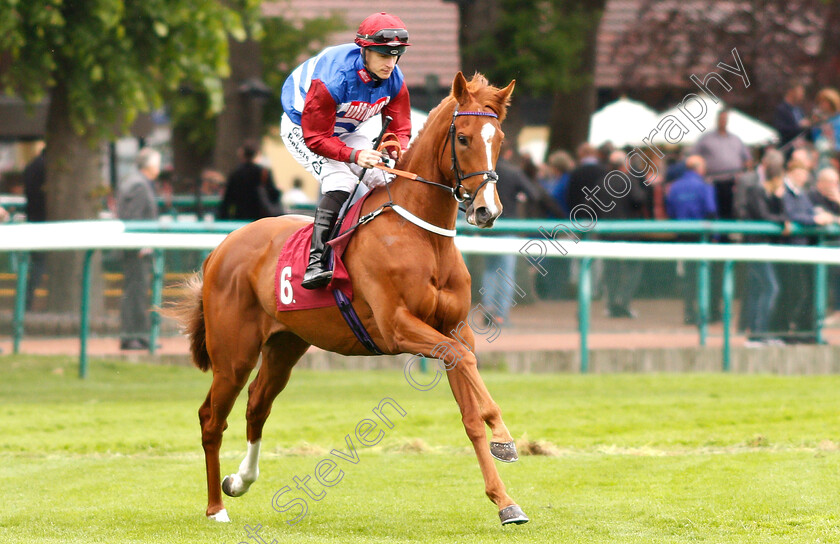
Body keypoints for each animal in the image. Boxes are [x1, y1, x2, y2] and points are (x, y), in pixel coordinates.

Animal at [176, 72, 528, 528]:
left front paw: (505, 501)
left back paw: (240, 481)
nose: (487, 210)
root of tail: (221, 248)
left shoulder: (453, 329)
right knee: (212, 417)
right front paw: (504, 437)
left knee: (257, 404)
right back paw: (216, 508)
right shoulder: (398, 327)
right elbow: (465, 363)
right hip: (233, 353)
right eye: (464, 137)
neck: (421, 234)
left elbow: (469, 411)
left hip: (285, 345)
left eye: (498, 137)